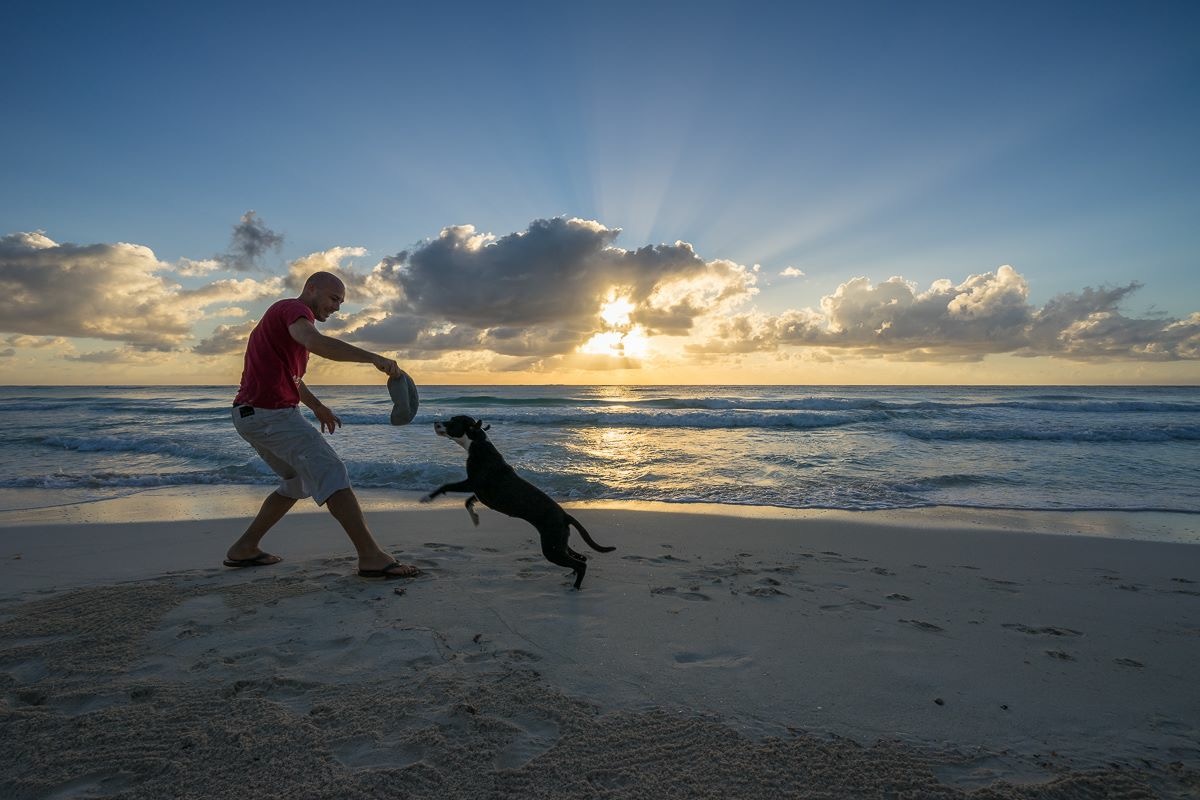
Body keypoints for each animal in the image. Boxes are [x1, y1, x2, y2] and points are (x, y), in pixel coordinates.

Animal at [422, 417, 614, 592]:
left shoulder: (472, 484)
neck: (479, 444)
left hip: (552, 548)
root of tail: (565, 515)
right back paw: (572, 576)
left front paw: (428, 498)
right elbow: (468, 501)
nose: (435, 422)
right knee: (581, 559)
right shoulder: (480, 493)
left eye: (452, 421)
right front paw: (475, 517)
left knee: (581, 564)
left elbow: (446, 486)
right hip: (559, 543)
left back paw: (575, 587)